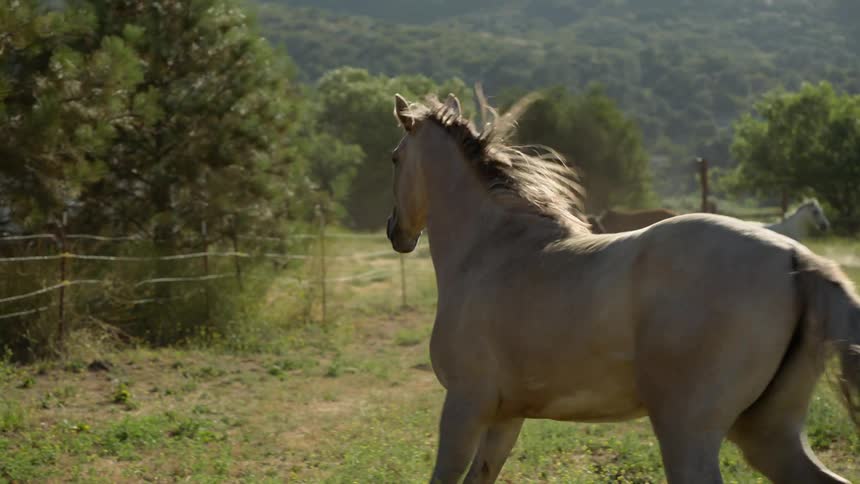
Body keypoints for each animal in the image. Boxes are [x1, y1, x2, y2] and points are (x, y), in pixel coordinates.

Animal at [385, 93, 859, 484]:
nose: (395, 232)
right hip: (767, 433)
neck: (490, 249)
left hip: (688, 432)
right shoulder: (506, 417)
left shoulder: (464, 406)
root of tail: (796, 257)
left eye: (394, 158)